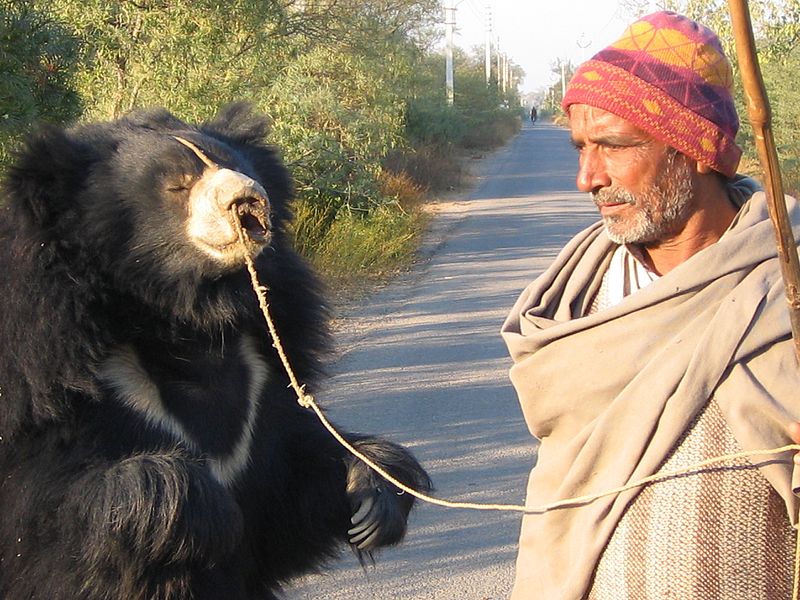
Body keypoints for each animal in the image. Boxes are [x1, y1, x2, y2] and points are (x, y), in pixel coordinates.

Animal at [0, 105, 432, 596]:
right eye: (177, 184)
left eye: (239, 167)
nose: (247, 199)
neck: (186, 320)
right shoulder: (45, 371)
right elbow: (47, 510)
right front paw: (205, 508)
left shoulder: (262, 382)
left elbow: (291, 484)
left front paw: (373, 495)